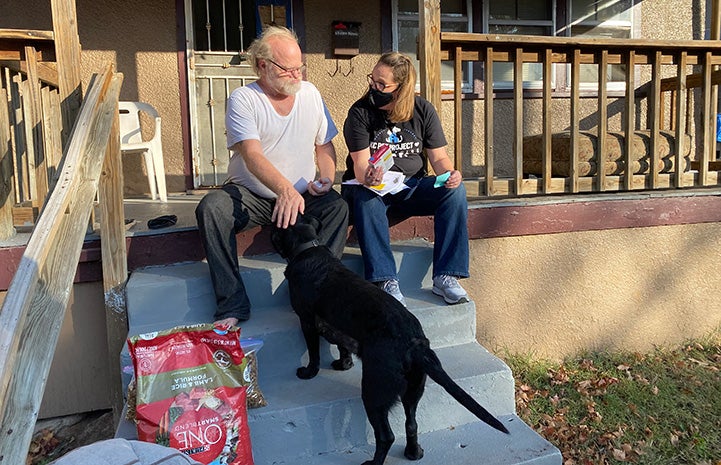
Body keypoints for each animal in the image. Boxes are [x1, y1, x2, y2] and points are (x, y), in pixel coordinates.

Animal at [268, 217, 506, 464]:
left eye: (276, 229)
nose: (270, 227)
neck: (307, 249)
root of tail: (415, 345)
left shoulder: (306, 321)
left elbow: (314, 353)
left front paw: (308, 372)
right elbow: (342, 346)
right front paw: (344, 364)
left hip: (373, 393)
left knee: (386, 436)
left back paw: (373, 462)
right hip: (413, 392)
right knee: (411, 424)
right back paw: (414, 453)